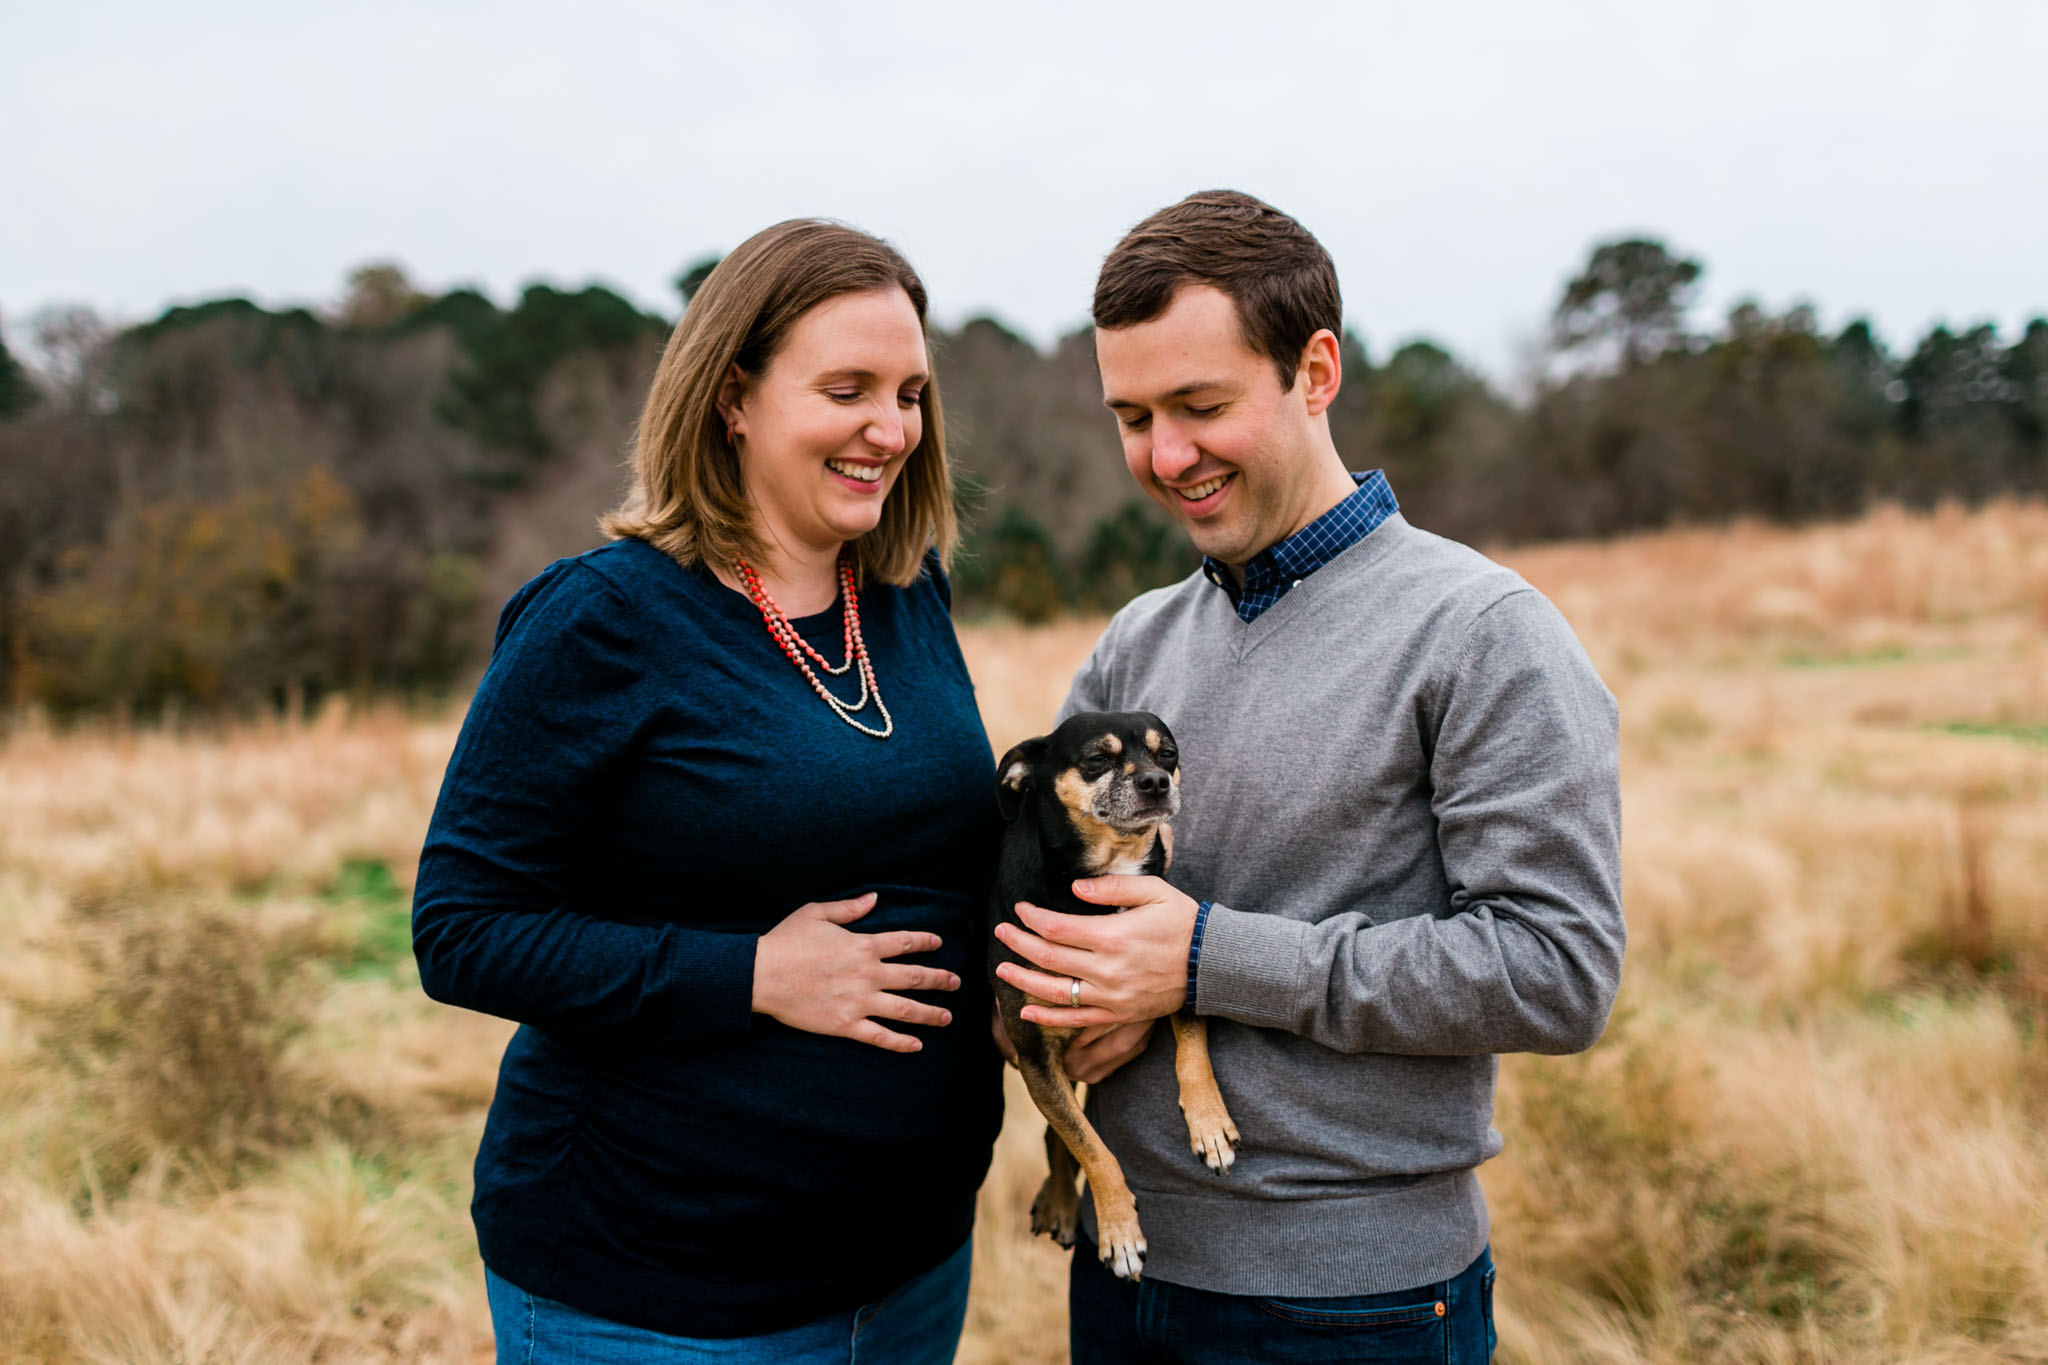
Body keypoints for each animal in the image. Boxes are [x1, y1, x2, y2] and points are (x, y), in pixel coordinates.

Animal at [987, 716, 1236, 1285]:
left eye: (1167, 755)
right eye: (1097, 760)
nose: (1156, 783)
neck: (1111, 872)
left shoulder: (1176, 961)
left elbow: (1193, 1049)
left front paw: (1209, 1123)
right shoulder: (1035, 1056)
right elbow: (1091, 1147)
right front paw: (1120, 1231)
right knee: (1061, 1135)